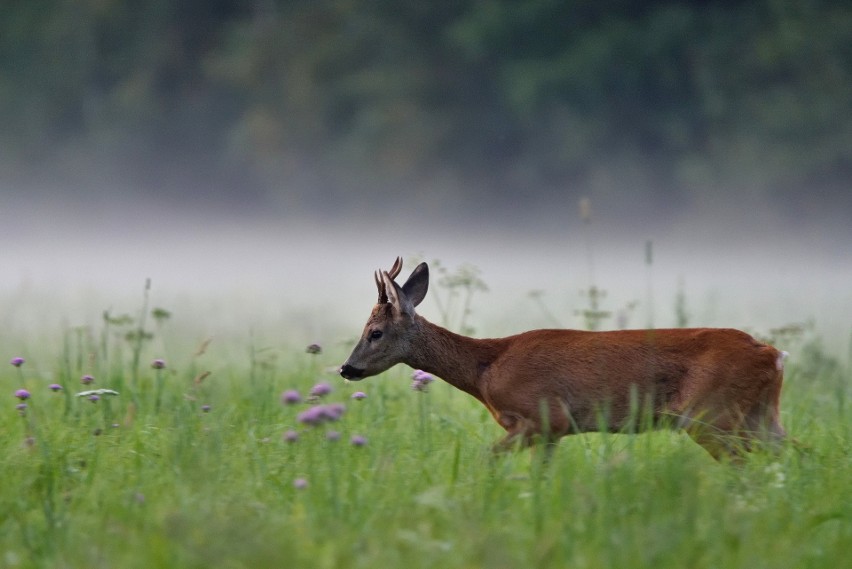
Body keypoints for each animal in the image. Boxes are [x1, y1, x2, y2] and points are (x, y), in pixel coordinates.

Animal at [338, 255, 784, 460]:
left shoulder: (543, 417)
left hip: (712, 415)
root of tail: (774, 354)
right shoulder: (553, 431)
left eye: (375, 333)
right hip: (757, 415)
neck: (486, 370)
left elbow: (488, 457)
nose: (346, 368)